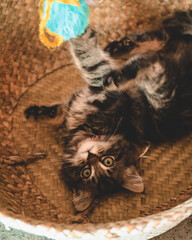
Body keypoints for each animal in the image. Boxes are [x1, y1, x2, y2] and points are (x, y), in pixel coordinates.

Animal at [24, 10, 192, 212]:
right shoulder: (74, 104)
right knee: (161, 40)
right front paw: (36, 112)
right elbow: (56, 112)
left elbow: (90, 62)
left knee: (155, 51)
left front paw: (80, 33)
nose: (90, 156)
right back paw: (120, 46)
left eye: (107, 161)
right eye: (86, 172)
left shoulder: (104, 92)